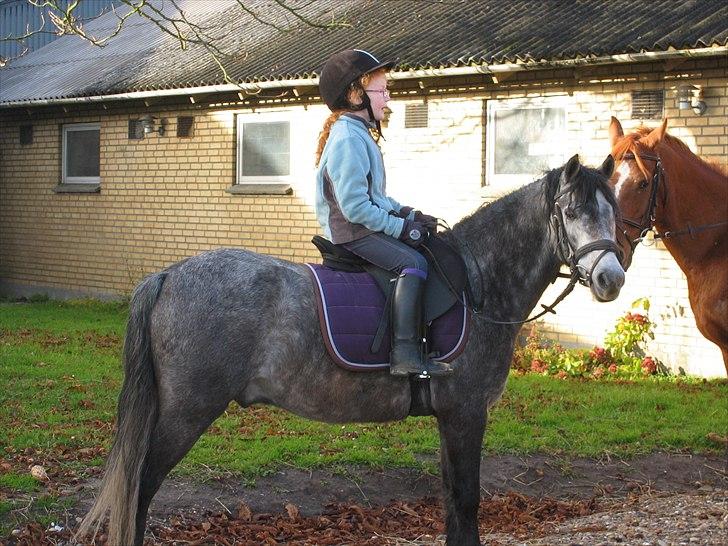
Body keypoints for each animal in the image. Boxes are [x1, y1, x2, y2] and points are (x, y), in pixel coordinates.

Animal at [79, 154, 624, 544]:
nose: (612, 280)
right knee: (140, 489)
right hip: (186, 411)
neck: (477, 284)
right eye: (571, 212)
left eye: (613, 211)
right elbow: (466, 502)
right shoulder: (467, 413)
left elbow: (452, 501)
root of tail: (168, 275)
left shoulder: (451, 417)